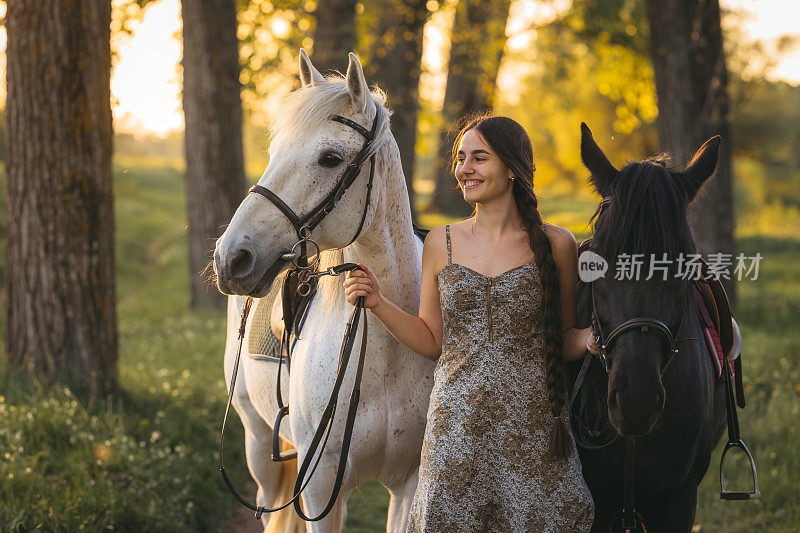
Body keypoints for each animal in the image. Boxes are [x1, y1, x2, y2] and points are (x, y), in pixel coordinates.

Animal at [212, 47, 434, 528]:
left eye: (330, 158)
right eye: (274, 151)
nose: (231, 258)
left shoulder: (409, 486)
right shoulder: (316, 491)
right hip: (257, 442)